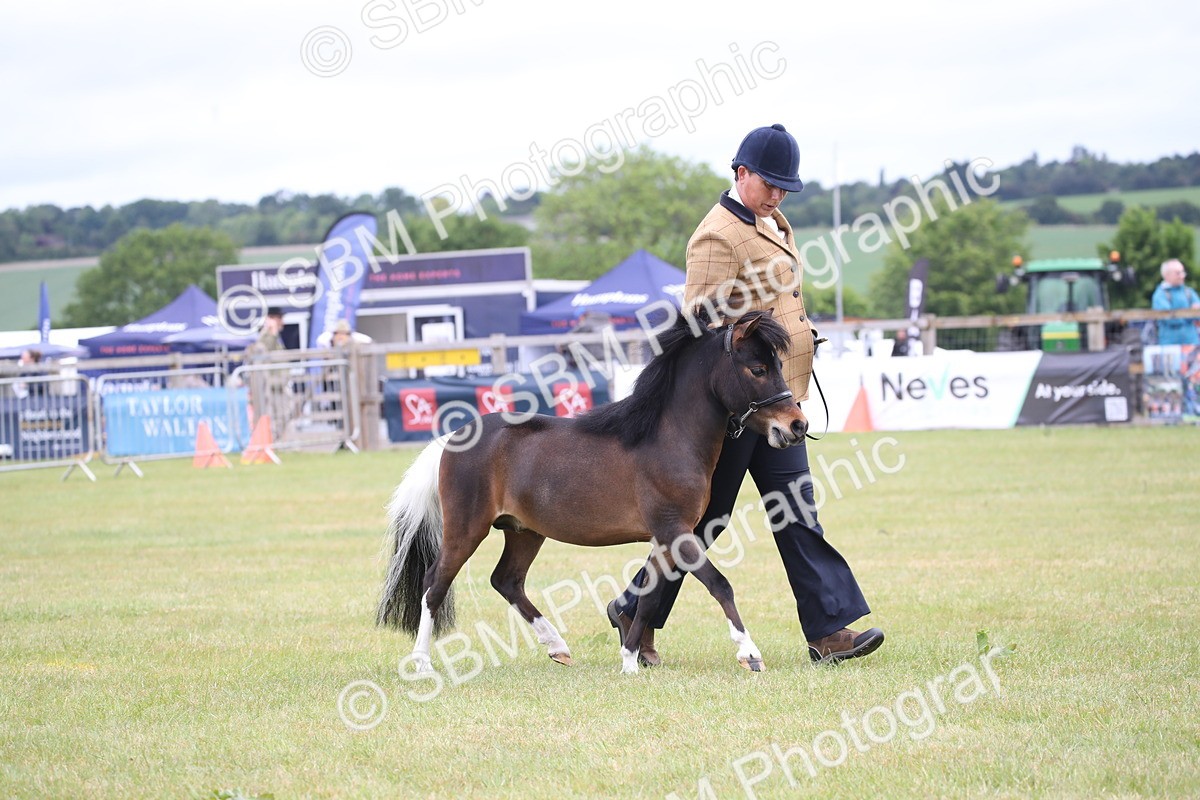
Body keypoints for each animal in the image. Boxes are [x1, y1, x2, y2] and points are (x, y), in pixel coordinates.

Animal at [376, 306, 809, 674]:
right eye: (757, 368)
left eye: (777, 365)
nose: (797, 425)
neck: (668, 438)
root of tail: (453, 437)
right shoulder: (676, 532)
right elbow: (720, 584)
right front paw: (749, 653)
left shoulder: (664, 539)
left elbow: (649, 597)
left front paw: (630, 661)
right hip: (466, 529)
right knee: (434, 585)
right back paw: (423, 663)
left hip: (523, 531)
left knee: (506, 580)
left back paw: (557, 646)